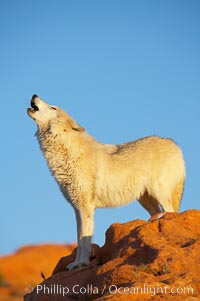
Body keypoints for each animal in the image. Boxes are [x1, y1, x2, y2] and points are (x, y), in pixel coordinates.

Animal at [27, 94, 185, 270]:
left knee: (172, 212)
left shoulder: (85, 207)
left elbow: (83, 240)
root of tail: (174, 145)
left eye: (53, 108)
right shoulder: (77, 208)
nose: (34, 95)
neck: (68, 153)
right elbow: (79, 240)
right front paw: (77, 263)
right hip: (145, 200)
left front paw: (81, 263)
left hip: (159, 193)